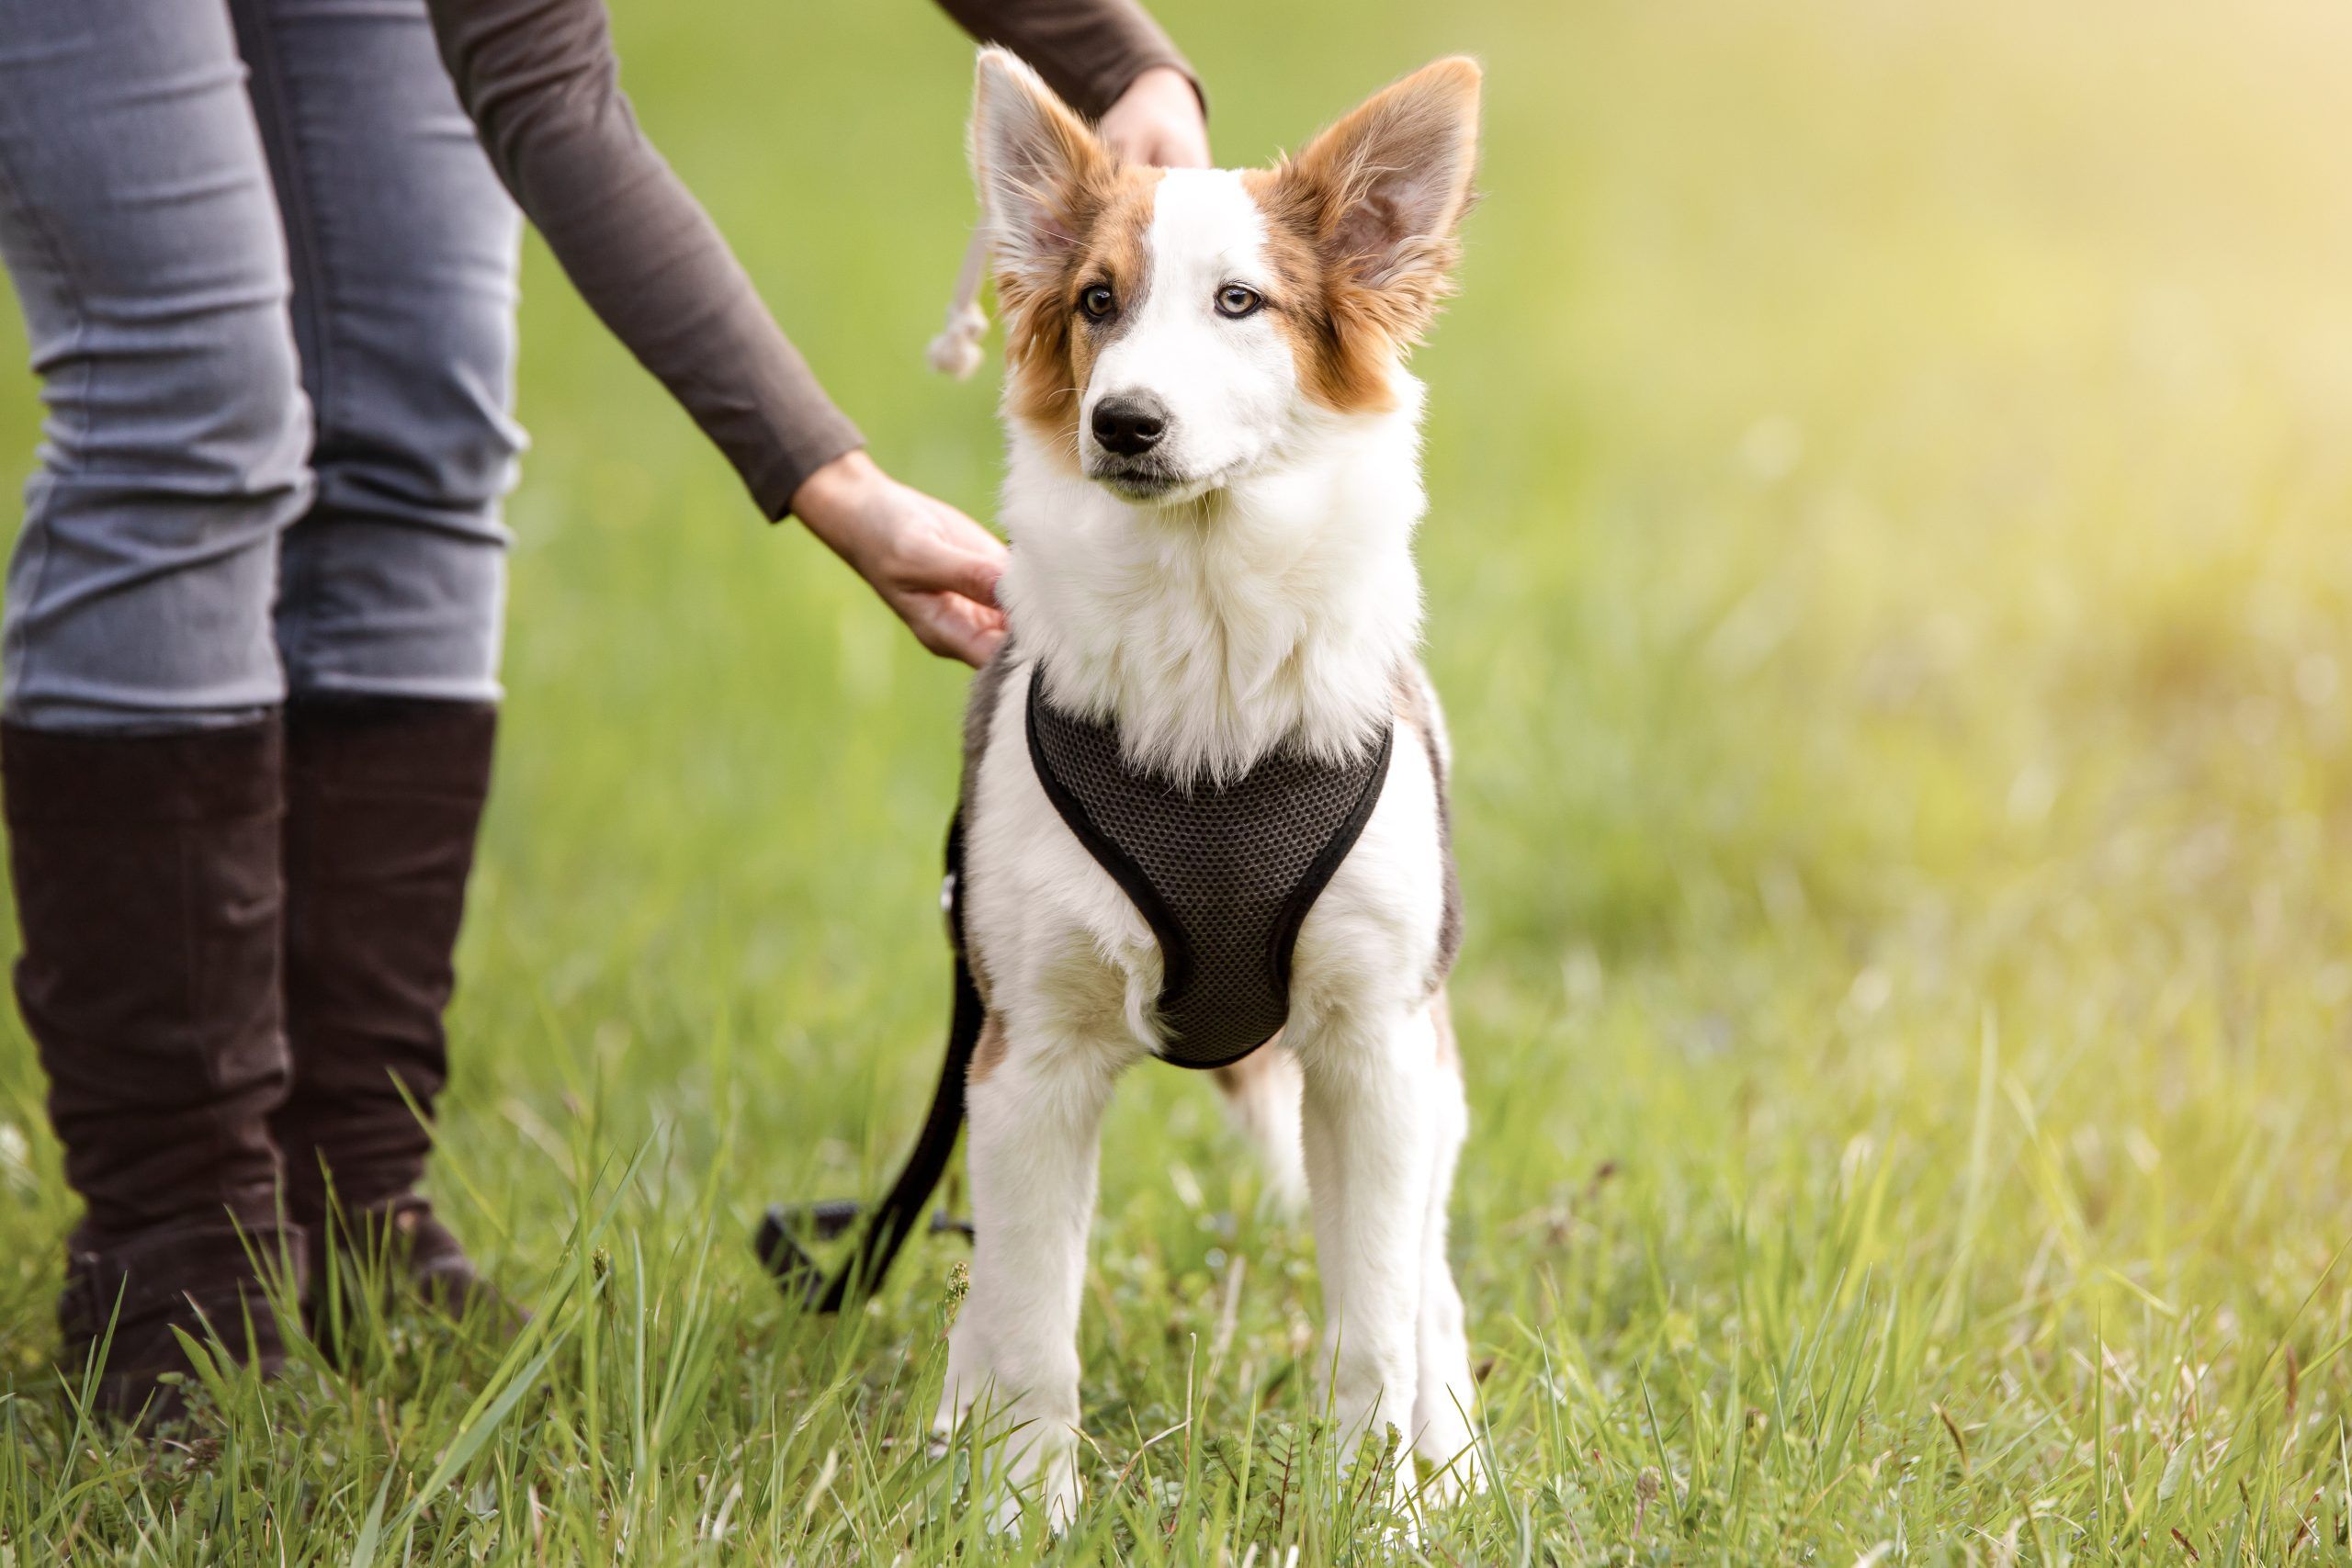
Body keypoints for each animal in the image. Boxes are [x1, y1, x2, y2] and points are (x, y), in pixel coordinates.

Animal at [941, 49, 1476, 1532]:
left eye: (1241, 301)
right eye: (1096, 303)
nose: (1124, 420)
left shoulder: (1371, 1051)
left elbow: (1374, 1328)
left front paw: (1377, 1517)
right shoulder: (1029, 1060)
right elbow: (1030, 1331)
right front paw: (1022, 1517)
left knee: (1428, 1288)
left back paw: (1456, 1462)